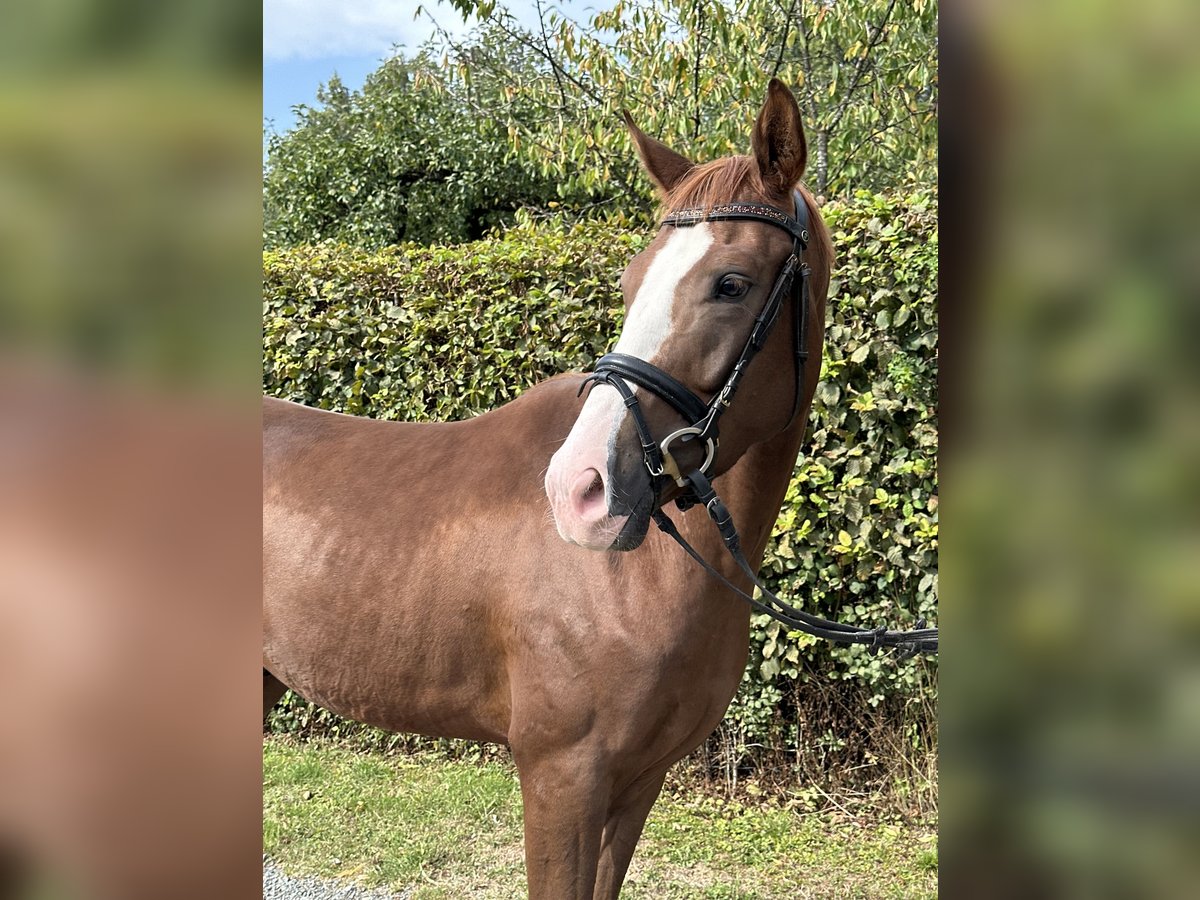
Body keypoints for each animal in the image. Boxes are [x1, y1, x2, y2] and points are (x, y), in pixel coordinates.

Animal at [266, 81, 835, 897]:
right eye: (629, 282)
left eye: (731, 283)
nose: (580, 491)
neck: (644, 574)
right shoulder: (562, 775)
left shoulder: (637, 783)